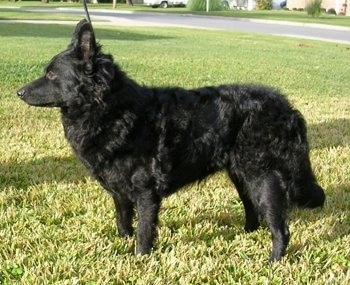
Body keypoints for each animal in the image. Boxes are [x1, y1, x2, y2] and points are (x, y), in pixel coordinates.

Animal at [17, 19, 326, 260]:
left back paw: (273, 260)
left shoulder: (146, 192)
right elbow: (123, 222)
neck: (114, 110)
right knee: (253, 210)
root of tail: (287, 108)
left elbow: (144, 231)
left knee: (279, 226)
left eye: (51, 74)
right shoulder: (120, 192)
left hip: (263, 178)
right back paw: (246, 235)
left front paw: (140, 259)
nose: (19, 92)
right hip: (242, 175)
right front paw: (123, 245)